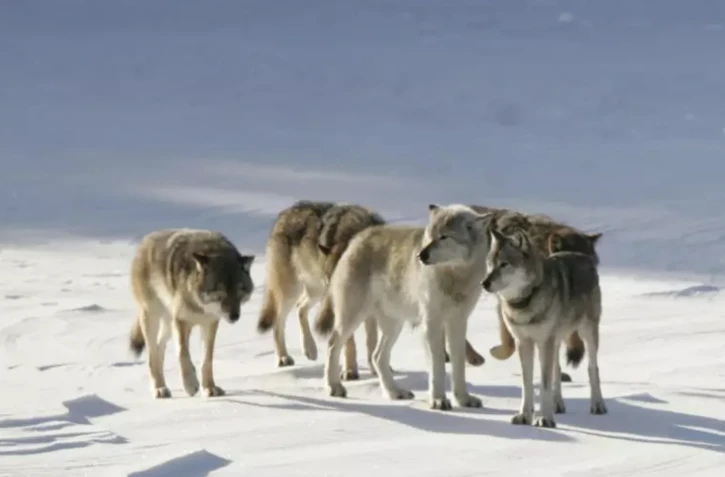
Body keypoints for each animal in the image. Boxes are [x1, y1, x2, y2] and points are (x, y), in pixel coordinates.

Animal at [128, 228, 255, 399]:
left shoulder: (210, 323)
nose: (234, 316)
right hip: (152, 318)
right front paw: (190, 385)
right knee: (151, 354)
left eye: (239, 290)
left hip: (168, 324)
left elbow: (207, 359)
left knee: (159, 348)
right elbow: (183, 354)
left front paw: (209, 388)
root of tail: (145, 241)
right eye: (219, 291)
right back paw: (159, 388)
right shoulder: (181, 321)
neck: (200, 305)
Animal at [256, 200, 387, 380]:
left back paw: (310, 349)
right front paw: (350, 371)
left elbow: (371, 340)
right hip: (292, 292)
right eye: (331, 280)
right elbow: (350, 343)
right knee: (278, 320)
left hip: (315, 291)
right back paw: (283, 357)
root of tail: (284, 214)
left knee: (300, 307)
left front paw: (376, 370)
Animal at [315, 204, 492, 410]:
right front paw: (438, 400)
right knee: (332, 345)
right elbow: (438, 365)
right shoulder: (431, 323)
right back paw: (334, 387)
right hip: (352, 318)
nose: (421, 255)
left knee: (377, 356)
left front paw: (463, 399)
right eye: (430, 236)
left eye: (444, 237)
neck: (455, 277)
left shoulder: (458, 322)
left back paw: (394, 392)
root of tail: (358, 237)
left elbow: (458, 365)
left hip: (394, 325)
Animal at [481, 227, 607, 428]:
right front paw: (524, 416)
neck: (525, 302)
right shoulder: (523, 342)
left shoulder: (543, 342)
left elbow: (544, 384)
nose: (484, 283)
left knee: (592, 368)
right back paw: (557, 405)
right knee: (557, 369)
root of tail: (581, 255)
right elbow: (527, 383)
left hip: (587, 333)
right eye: (489, 264)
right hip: (555, 342)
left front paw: (545, 418)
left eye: (504, 264)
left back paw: (598, 405)